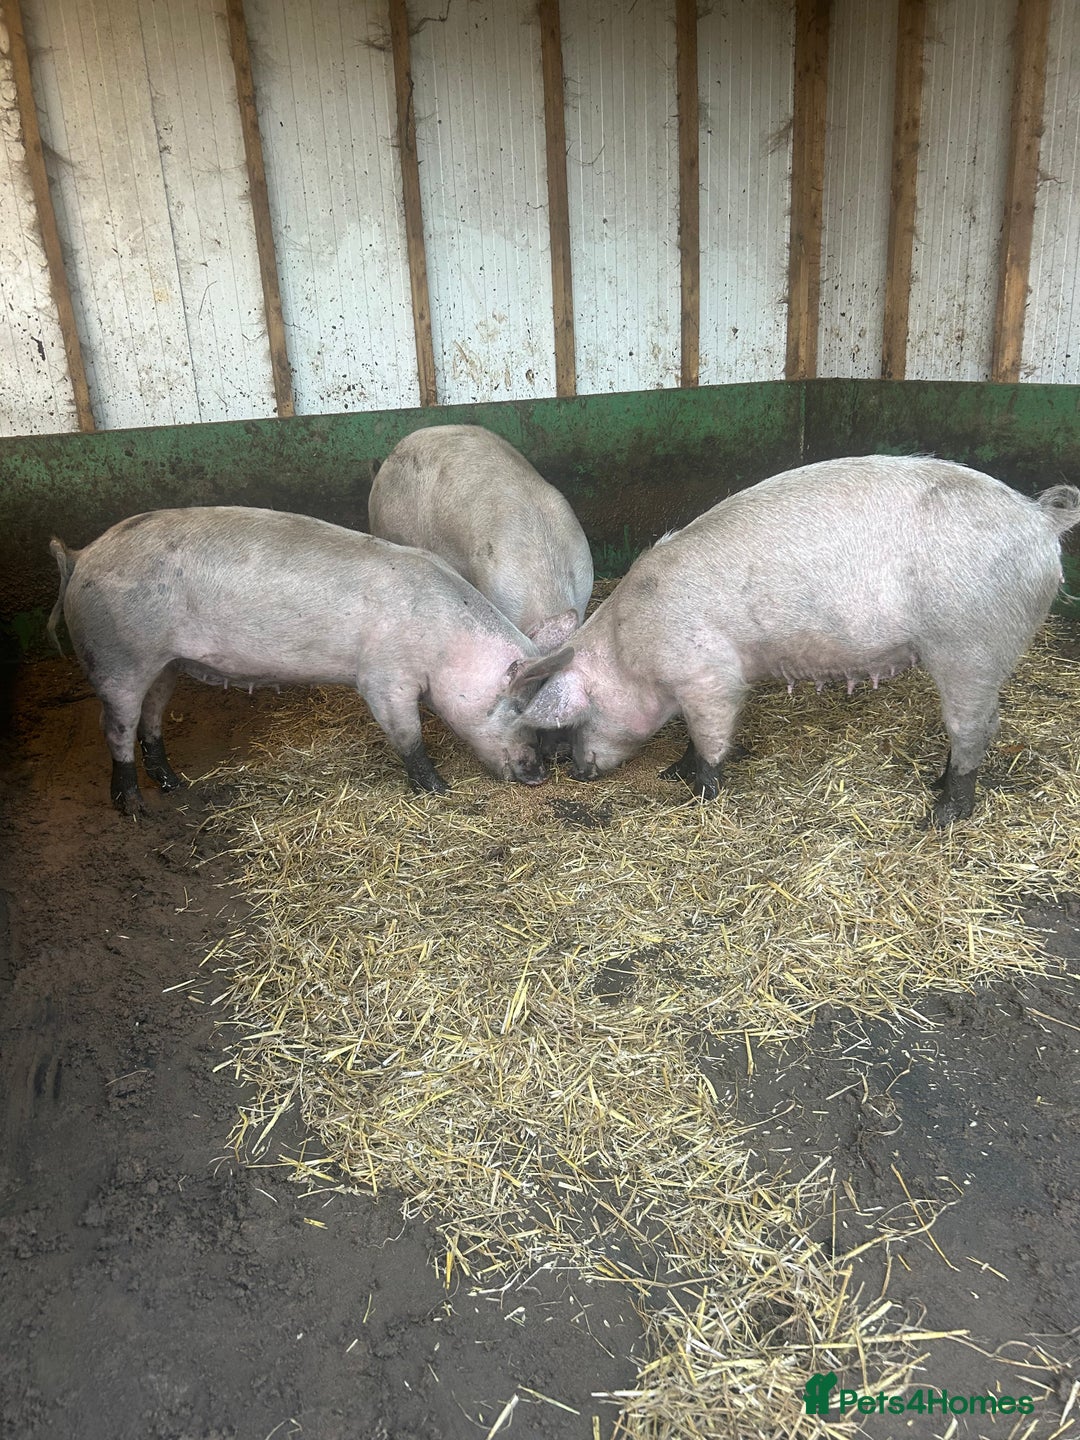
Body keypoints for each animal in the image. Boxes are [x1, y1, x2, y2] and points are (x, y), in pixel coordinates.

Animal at [47, 506, 578, 816]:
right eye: (519, 710)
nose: (540, 774)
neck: (447, 644)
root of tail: (80, 556)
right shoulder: (383, 678)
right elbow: (408, 736)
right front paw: (439, 790)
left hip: (165, 664)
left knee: (151, 718)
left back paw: (174, 784)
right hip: (118, 656)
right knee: (115, 724)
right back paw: (135, 806)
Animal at [507, 456, 1080, 827]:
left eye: (578, 718)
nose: (578, 771)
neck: (631, 649)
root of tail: (1040, 519)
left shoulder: (710, 675)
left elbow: (711, 735)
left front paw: (698, 793)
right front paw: (674, 773)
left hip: (970, 644)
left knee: (974, 728)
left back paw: (941, 815)